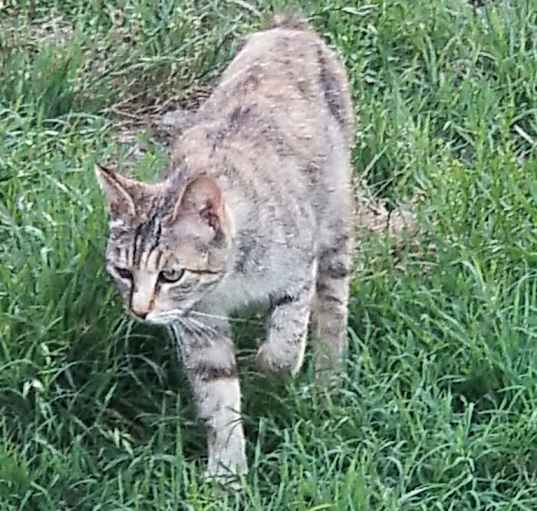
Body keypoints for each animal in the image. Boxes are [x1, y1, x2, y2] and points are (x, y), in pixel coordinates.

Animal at [95, 14, 356, 482]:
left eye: (171, 274)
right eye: (123, 272)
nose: (139, 312)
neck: (229, 281)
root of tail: (289, 28)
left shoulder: (296, 269)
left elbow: (286, 341)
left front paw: (270, 369)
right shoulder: (198, 323)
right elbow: (218, 394)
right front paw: (227, 473)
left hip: (336, 219)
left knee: (333, 303)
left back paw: (327, 378)